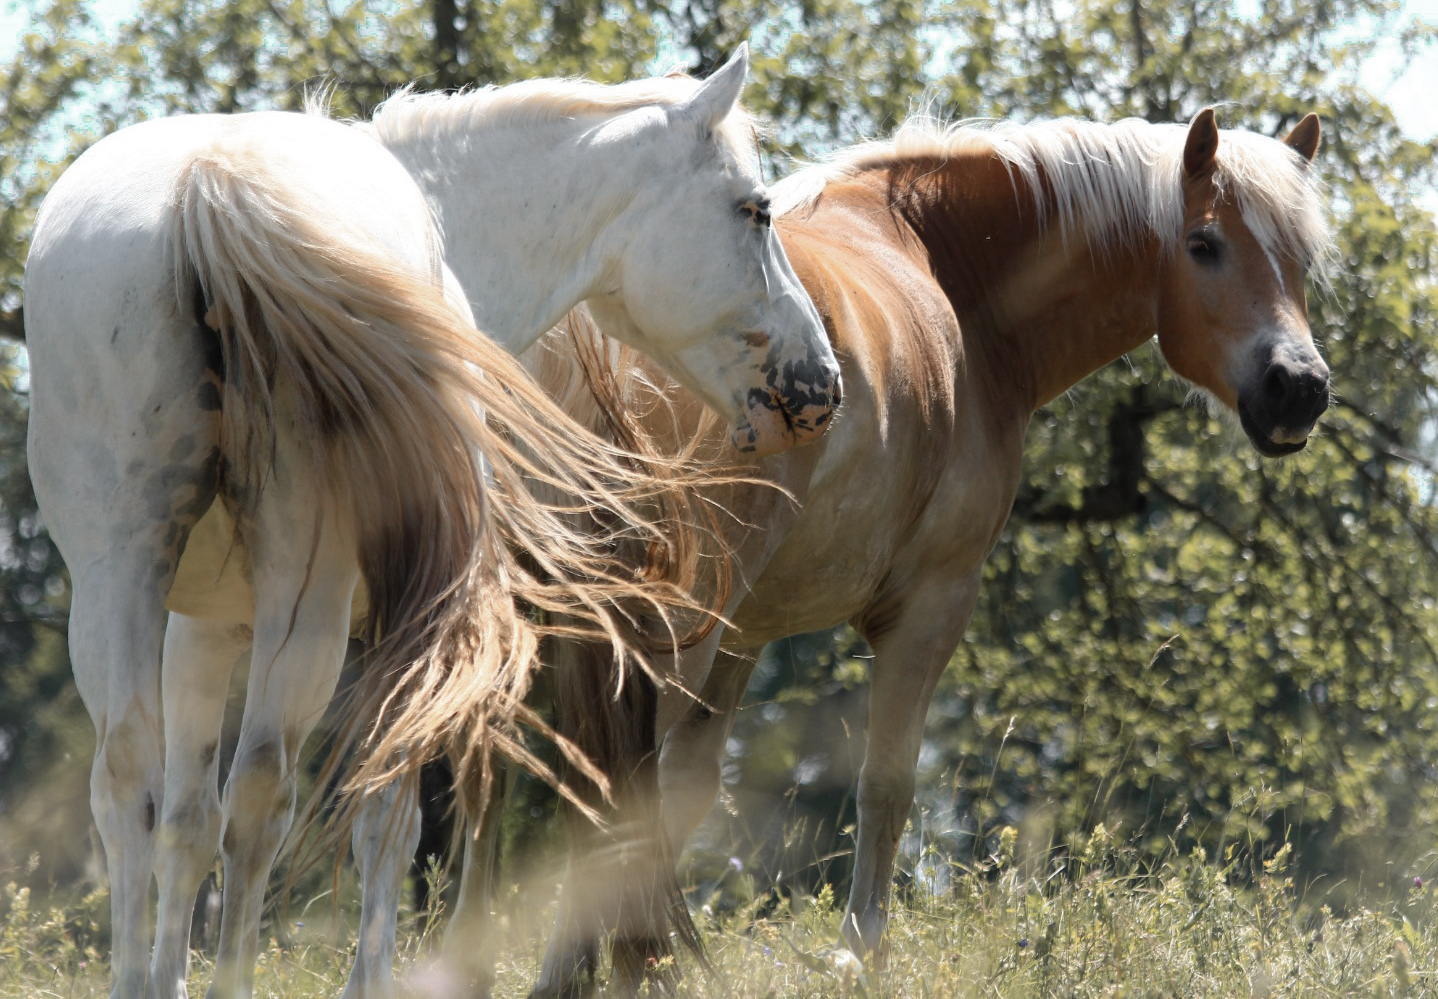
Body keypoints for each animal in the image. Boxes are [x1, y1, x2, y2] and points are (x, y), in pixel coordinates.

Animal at [22, 46, 839, 999]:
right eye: (755, 209)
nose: (820, 381)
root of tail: (208, 184)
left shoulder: (205, 625)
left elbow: (186, 821)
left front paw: (163, 981)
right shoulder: (404, 620)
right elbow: (389, 821)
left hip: (120, 577)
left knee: (130, 783)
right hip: (306, 595)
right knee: (261, 793)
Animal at [511, 105, 1328, 994]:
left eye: (1303, 259)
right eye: (1204, 243)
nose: (1300, 386)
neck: (953, 274)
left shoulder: (744, 634)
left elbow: (684, 792)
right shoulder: (931, 604)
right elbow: (887, 783)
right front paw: (859, 950)